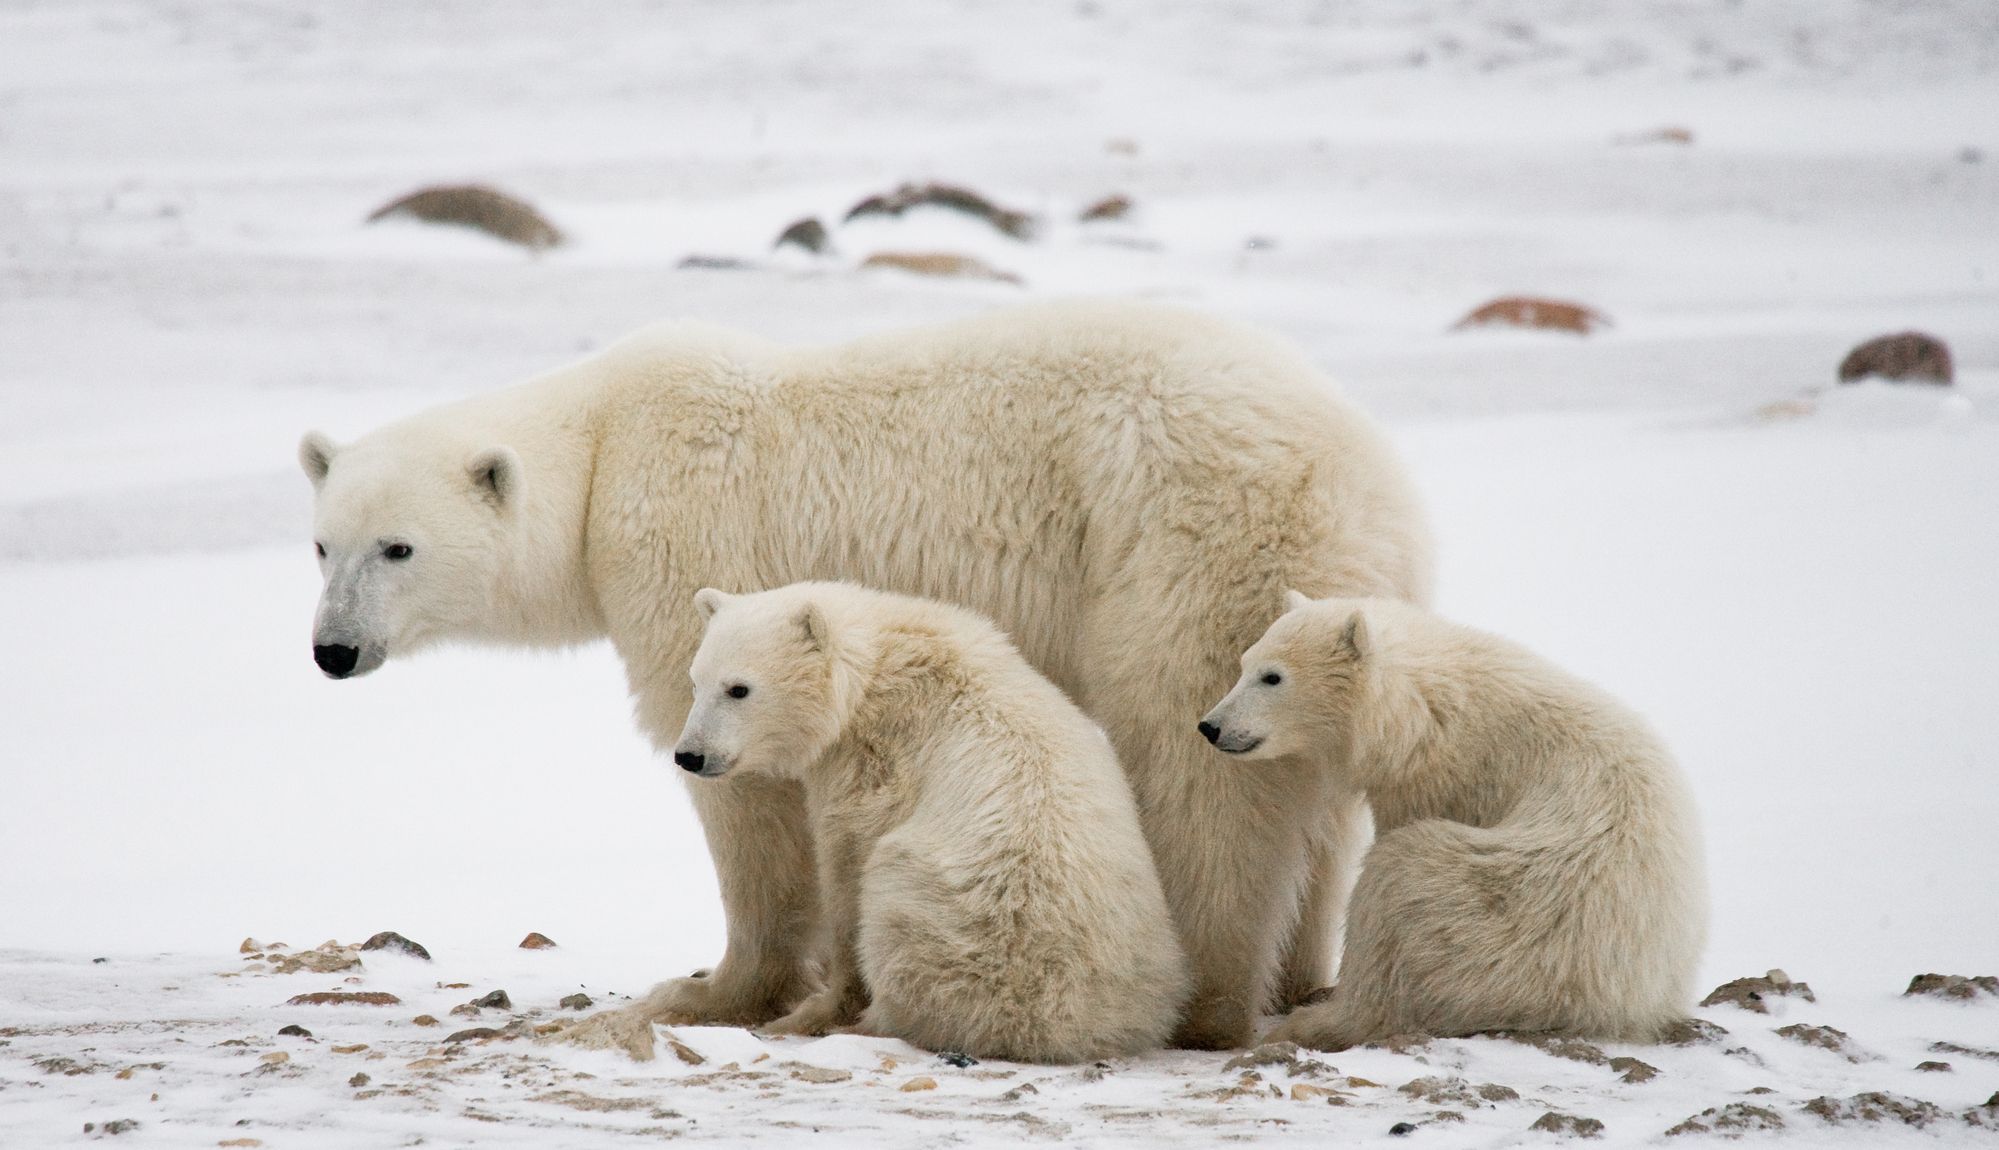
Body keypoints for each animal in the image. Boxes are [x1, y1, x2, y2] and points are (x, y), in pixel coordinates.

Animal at [671, 584, 1183, 1064]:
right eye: (696, 683)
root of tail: (1050, 1023)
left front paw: (818, 1009)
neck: (874, 673)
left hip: (947, 917)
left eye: (738, 688)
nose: (689, 755)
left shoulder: (875, 763)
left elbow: (848, 867)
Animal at [1199, 600, 1703, 1048]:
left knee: (1397, 886)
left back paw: (1316, 1022)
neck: (1422, 710)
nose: (1211, 727)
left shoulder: (1449, 779)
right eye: (1244, 664)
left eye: (1272, 676)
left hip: (1510, 918)